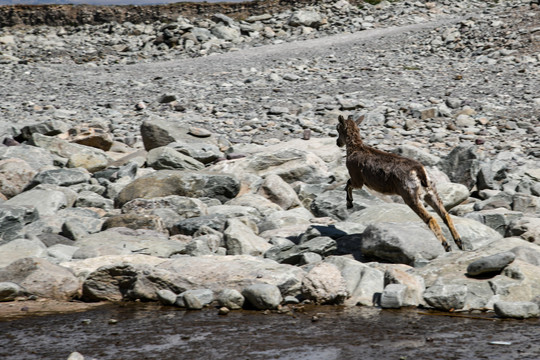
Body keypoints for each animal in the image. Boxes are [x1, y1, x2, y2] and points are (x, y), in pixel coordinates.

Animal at [334, 115, 464, 253]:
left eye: (338, 128)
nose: (338, 142)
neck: (355, 148)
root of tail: (419, 171)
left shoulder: (357, 178)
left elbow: (348, 183)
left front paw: (349, 204)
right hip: (430, 191)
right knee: (445, 215)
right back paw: (459, 241)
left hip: (410, 194)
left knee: (431, 218)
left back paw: (447, 245)